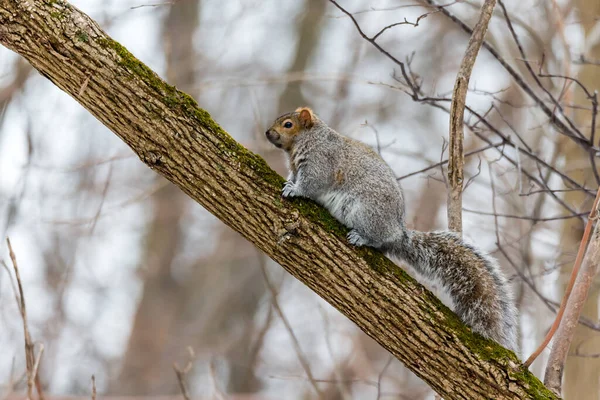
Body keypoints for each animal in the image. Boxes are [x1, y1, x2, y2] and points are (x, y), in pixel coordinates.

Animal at [264, 107, 516, 354]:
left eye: (288, 124)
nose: (267, 133)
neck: (309, 140)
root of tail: (398, 233)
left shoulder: (321, 162)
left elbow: (311, 184)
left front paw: (295, 190)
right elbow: (294, 176)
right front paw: (289, 183)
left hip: (364, 212)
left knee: (377, 240)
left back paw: (361, 237)